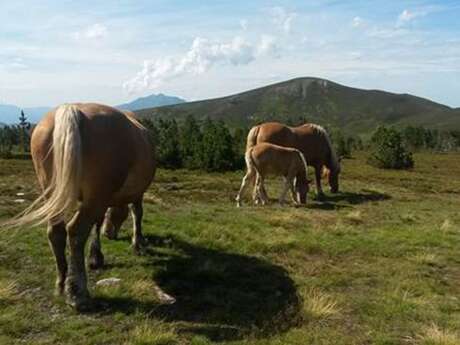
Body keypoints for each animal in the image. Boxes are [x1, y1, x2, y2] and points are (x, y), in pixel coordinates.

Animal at [7, 103, 155, 310]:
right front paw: (138, 243)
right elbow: (137, 214)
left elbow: (97, 223)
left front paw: (95, 256)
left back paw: (62, 283)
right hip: (94, 197)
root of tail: (72, 109)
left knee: (56, 232)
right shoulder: (133, 195)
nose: (109, 233)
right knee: (76, 231)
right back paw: (77, 293)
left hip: (55, 194)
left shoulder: (100, 202)